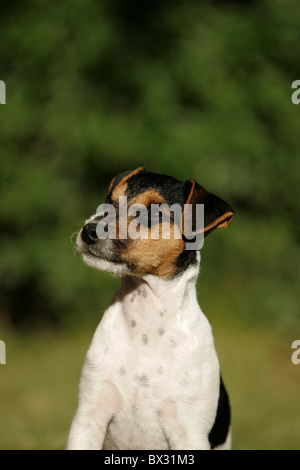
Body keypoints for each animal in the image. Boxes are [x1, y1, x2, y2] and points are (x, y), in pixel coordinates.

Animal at [67, 167, 234, 450]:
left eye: (154, 213)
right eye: (109, 201)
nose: (88, 230)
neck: (145, 329)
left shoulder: (189, 434)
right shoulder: (88, 419)